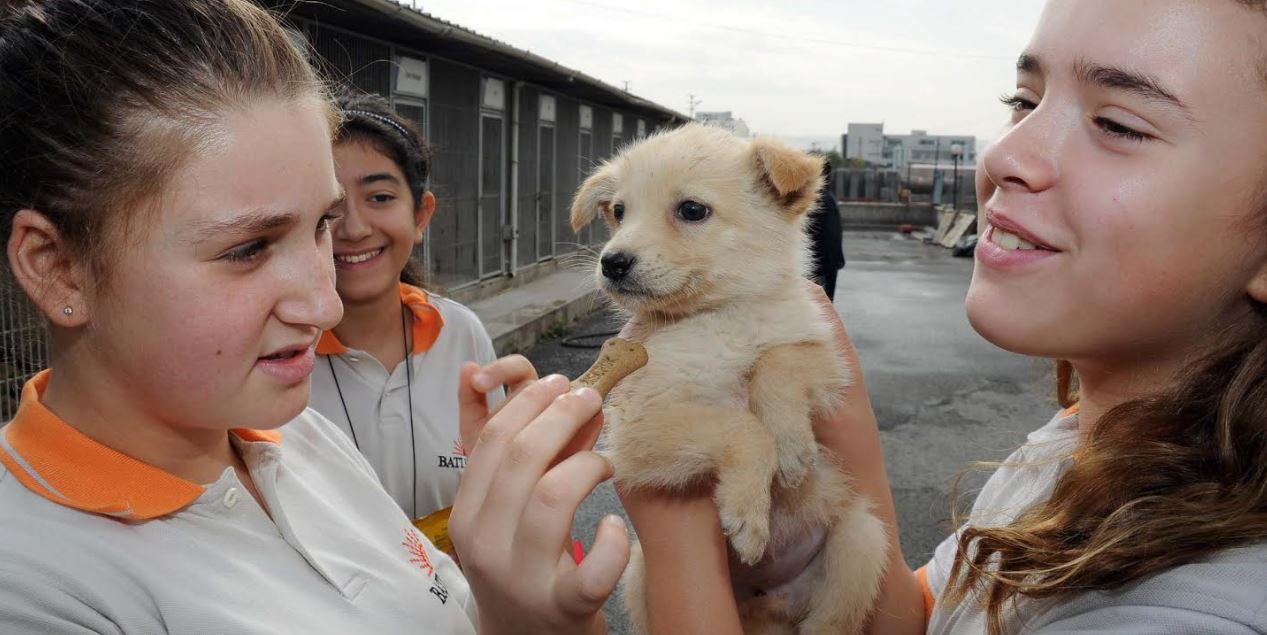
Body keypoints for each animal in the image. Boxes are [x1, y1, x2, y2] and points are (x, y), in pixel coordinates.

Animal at [575, 124, 891, 633]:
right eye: (619, 212)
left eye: (692, 210)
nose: (611, 262)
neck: (721, 316)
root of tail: (771, 603)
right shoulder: (638, 430)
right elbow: (740, 427)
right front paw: (749, 511)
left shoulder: (827, 359)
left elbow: (777, 362)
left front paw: (791, 445)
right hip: (642, 571)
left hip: (862, 541)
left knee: (831, 619)